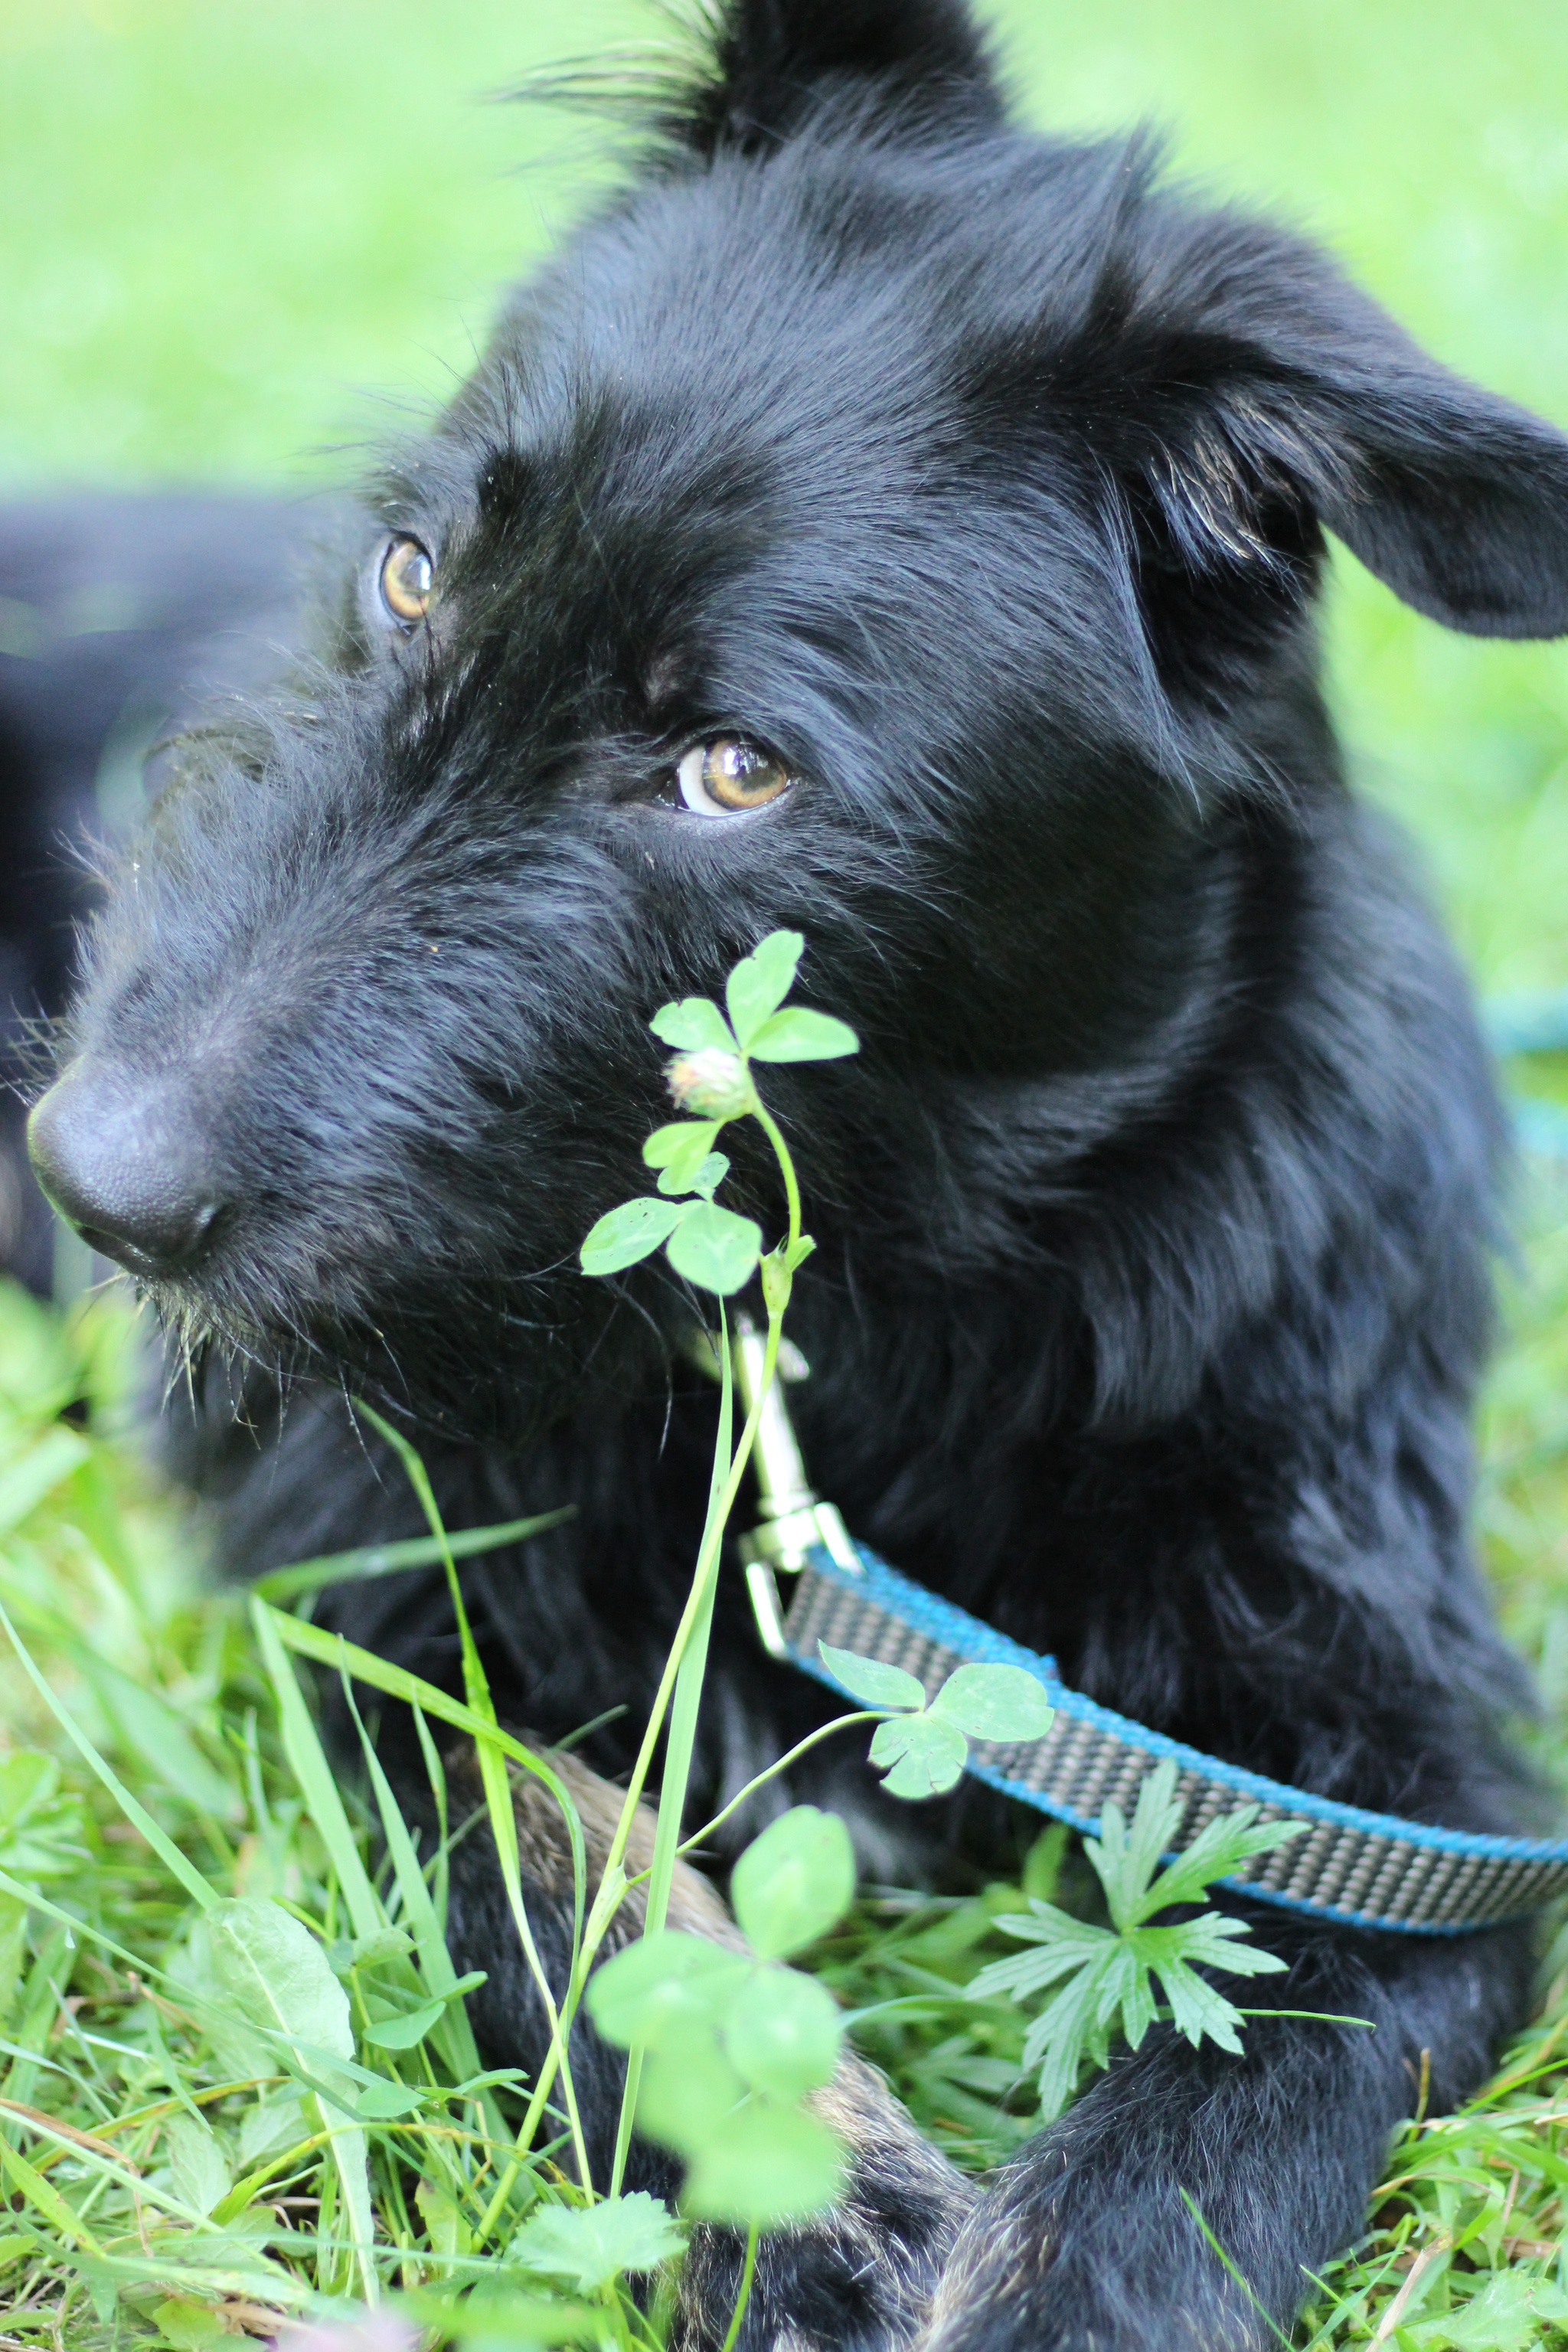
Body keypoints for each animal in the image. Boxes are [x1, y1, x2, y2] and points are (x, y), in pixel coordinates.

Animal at [15, 5, 1568, 2352]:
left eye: (735, 768)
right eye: (411, 572)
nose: (98, 1182)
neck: (876, 1311)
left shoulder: (1408, 1777)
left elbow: (1258, 2050)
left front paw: (1079, 2279)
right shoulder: (355, 1604)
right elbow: (537, 1854)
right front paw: (784, 2189)